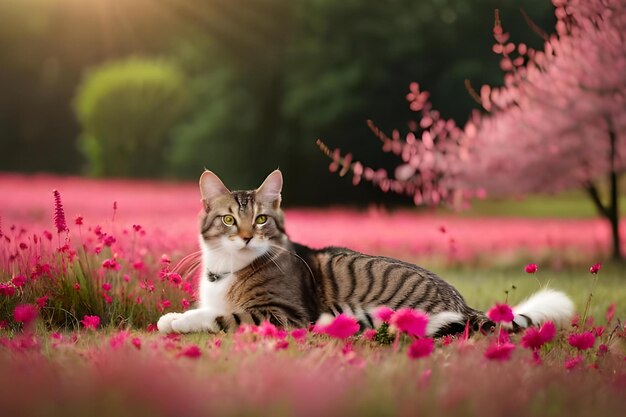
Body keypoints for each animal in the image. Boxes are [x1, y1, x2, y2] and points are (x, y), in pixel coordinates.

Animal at [155, 169, 572, 334]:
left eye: (260, 220)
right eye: (228, 220)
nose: (244, 237)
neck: (227, 268)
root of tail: (465, 306)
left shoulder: (284, 314)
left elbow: (222, 317)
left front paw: (178, 321)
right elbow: (209, 309)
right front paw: (177, 315)